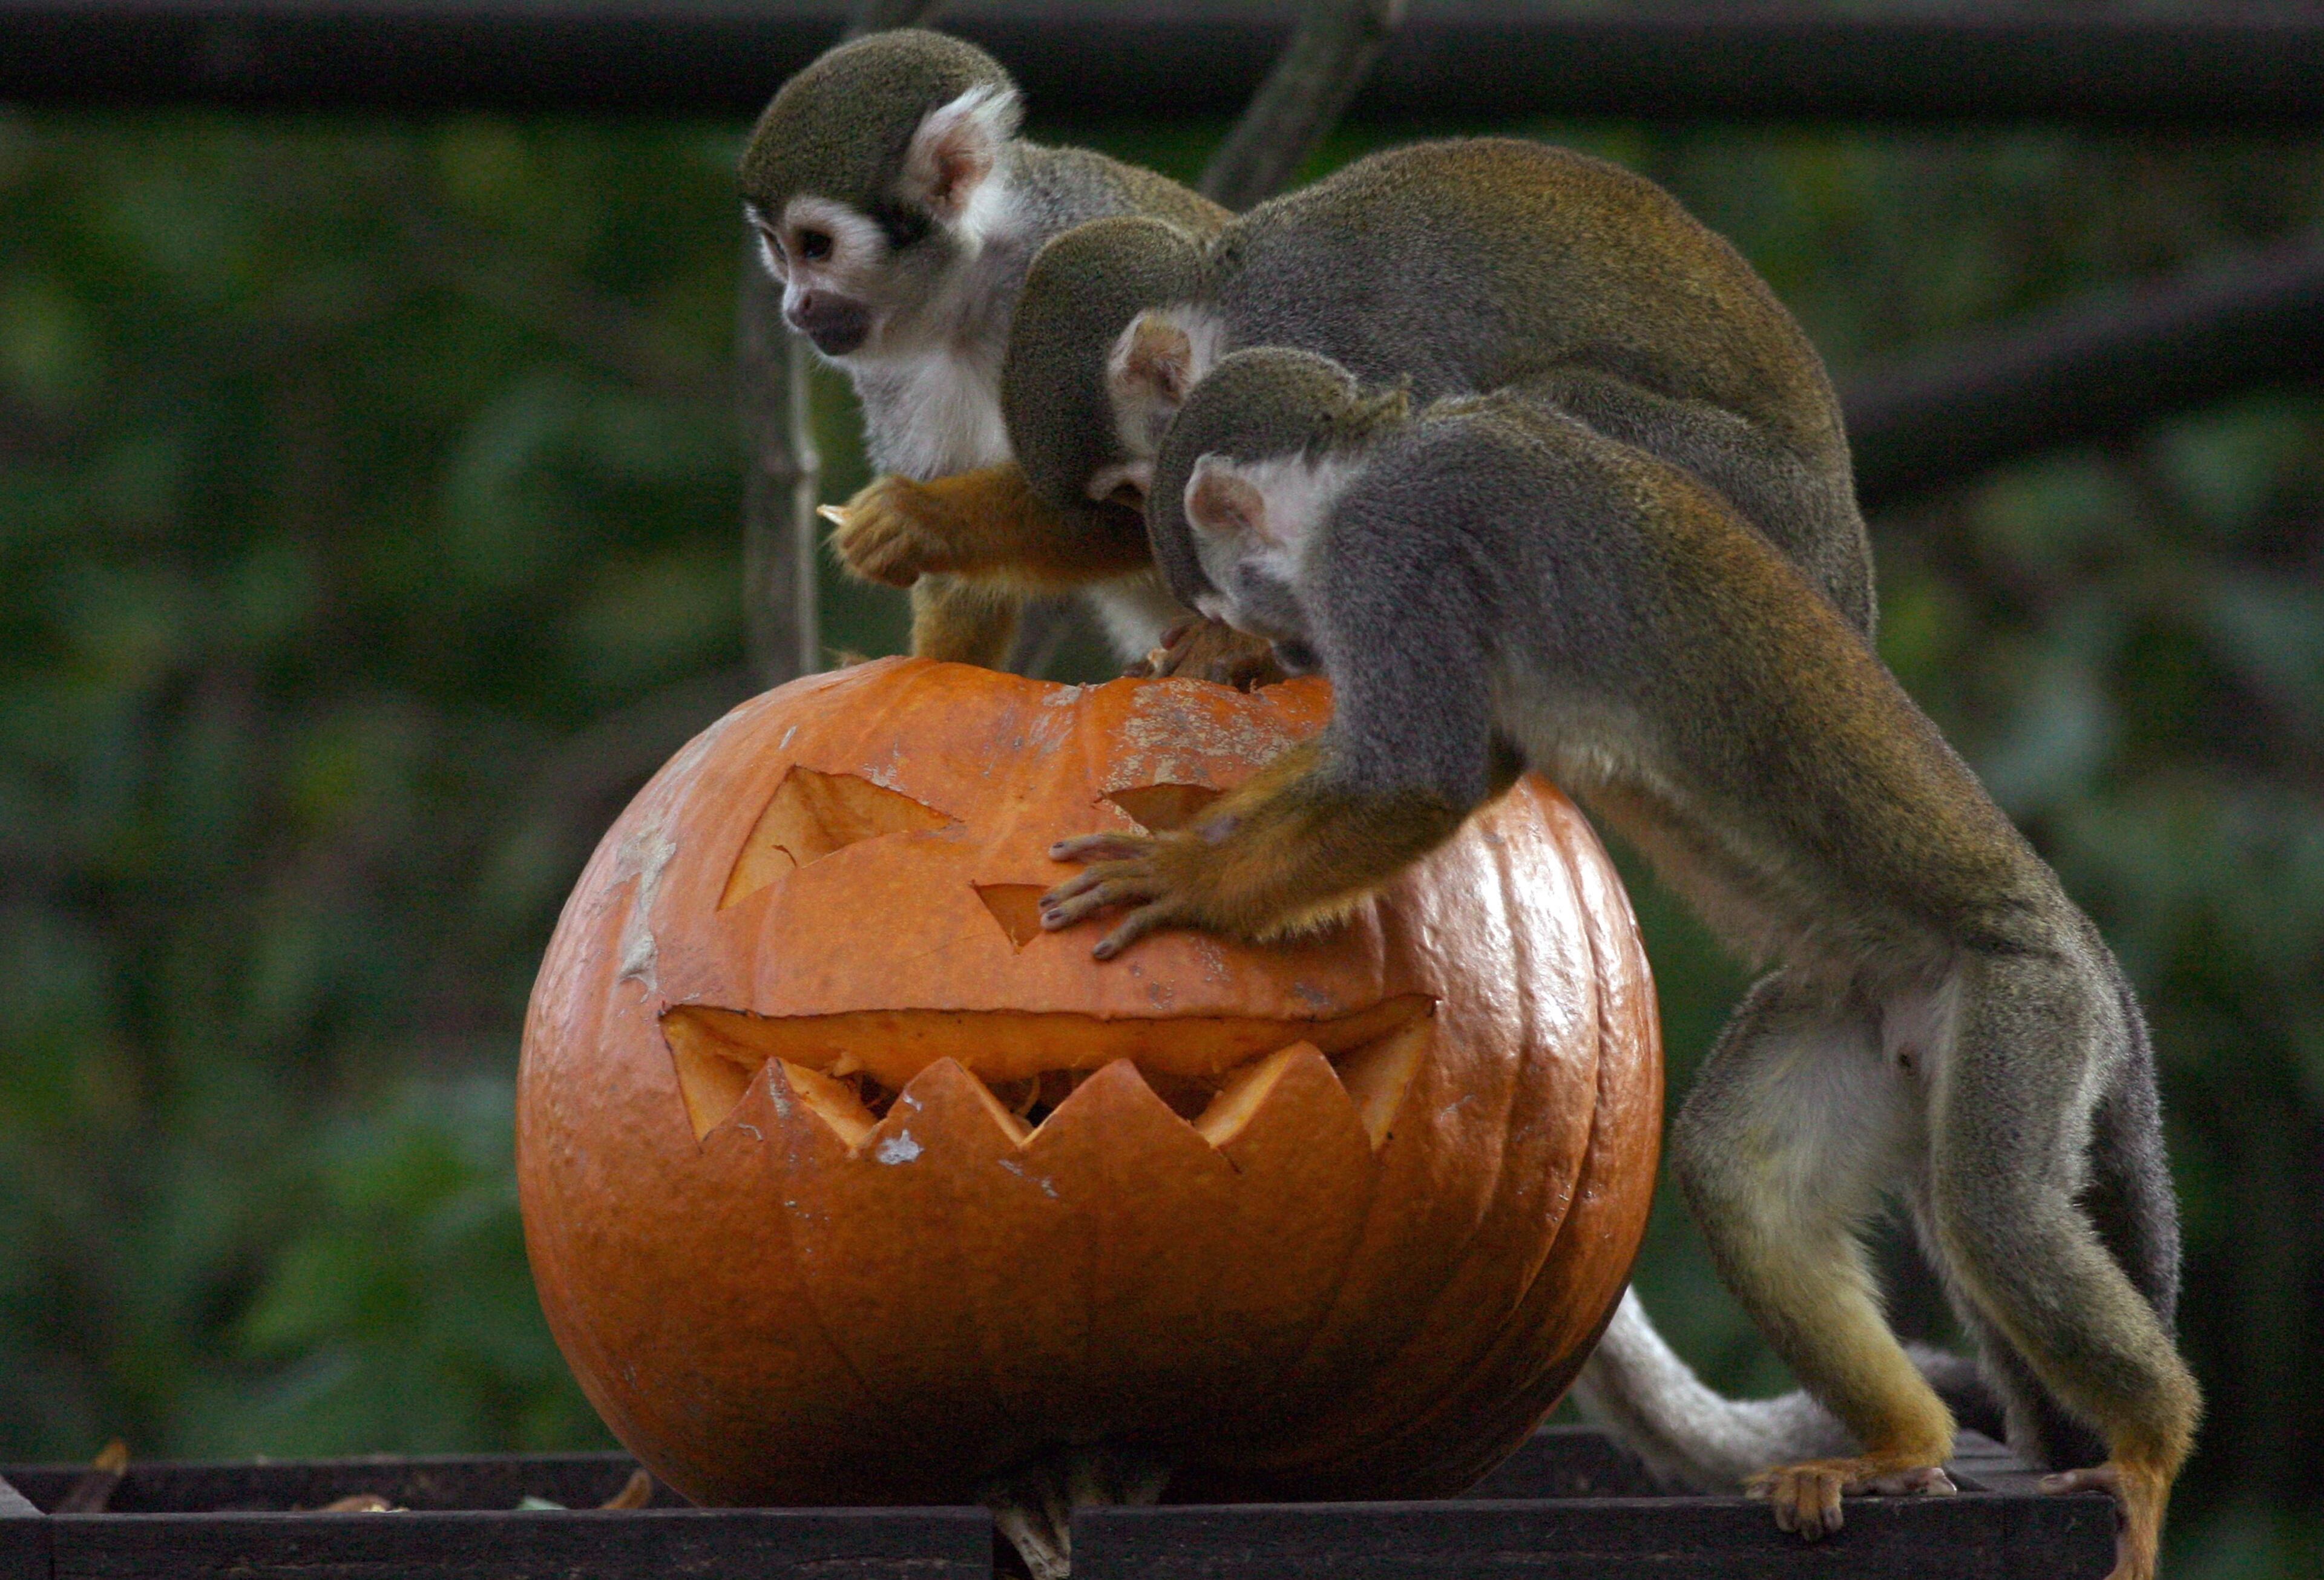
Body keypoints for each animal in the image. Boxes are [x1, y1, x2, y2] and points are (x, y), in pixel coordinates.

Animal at [740, 27, 1241, 671]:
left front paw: (926, 520)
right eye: (780, 250)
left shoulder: (1085, 279)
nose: (795, 307)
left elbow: (1154, 504)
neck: (973, 289)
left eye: (816, 247)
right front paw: (933, 665)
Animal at [827, 138, 1879, 665]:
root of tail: (1846, 574)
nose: (1151, 519)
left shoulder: (1333, 358)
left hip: (1759, 511)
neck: (1233, 304)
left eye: (1127, 495)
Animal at [1036, 347, 2199, 1580]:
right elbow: (1474, 764)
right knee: (1739, 1175)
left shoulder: (1392, 550)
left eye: (1223, 592)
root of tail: (2083, 944)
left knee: (1998, 1213)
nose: (1281, 645)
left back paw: (2148, 1446)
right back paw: (1899, 1447)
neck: (1365, 462)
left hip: (2026, 1003)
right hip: (1871, 1013)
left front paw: (1187, 877)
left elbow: (1421, 778)